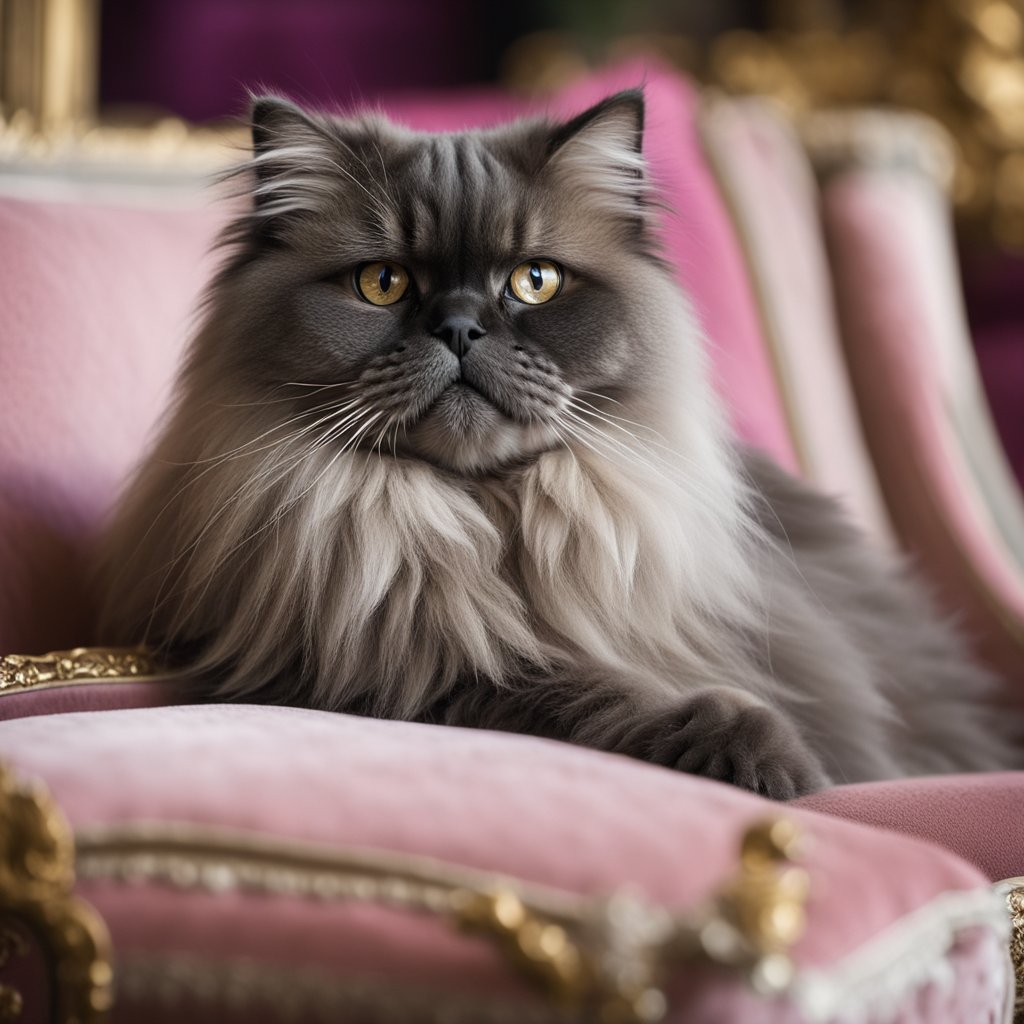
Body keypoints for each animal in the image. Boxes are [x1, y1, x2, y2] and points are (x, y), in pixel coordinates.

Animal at [96, 89, 1019, 799]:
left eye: (533, 281)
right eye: (383, 283)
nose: (460, 327)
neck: (482, 521)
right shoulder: (407, 672)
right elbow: (597, 690)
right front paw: (762, 757)